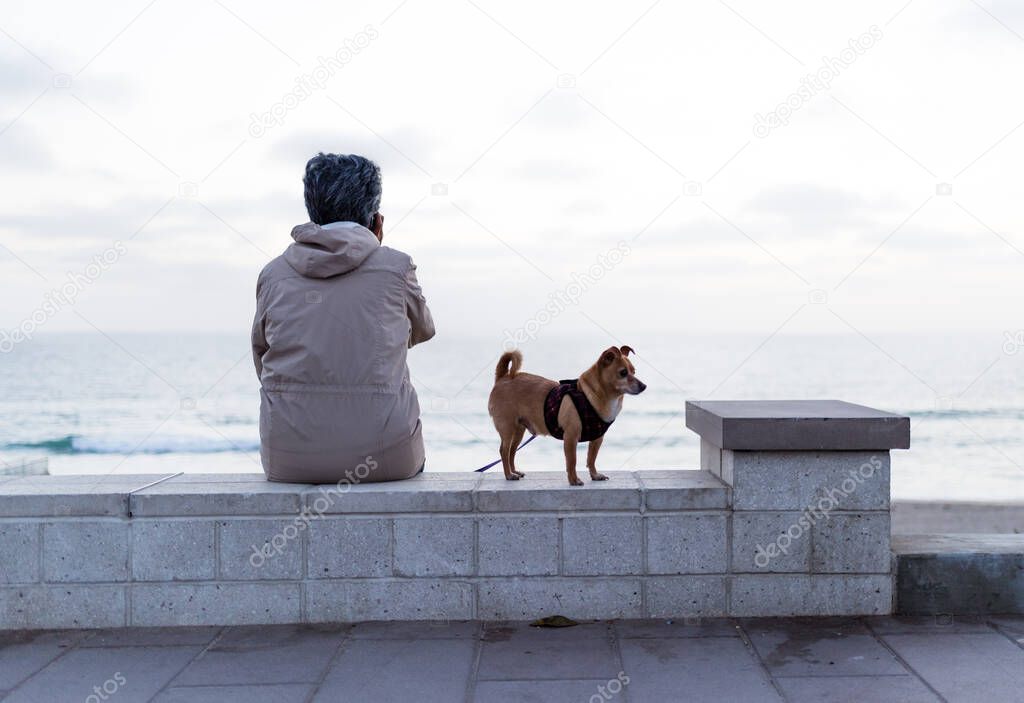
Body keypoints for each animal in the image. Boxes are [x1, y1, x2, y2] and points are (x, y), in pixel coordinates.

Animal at [489, 345, 647, 482]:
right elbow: (572, 461)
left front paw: (595, 475)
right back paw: (509, 475)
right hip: (508, 429)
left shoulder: (597, 439)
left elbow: (592, 458)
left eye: (634, 371)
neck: (588, 396)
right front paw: (574, 480)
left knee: (512, 451)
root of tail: (503, 378)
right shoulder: (571, 437)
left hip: (518, 431)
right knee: (504, 451)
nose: (644, 386)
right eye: (623, 373)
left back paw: (514, 471)